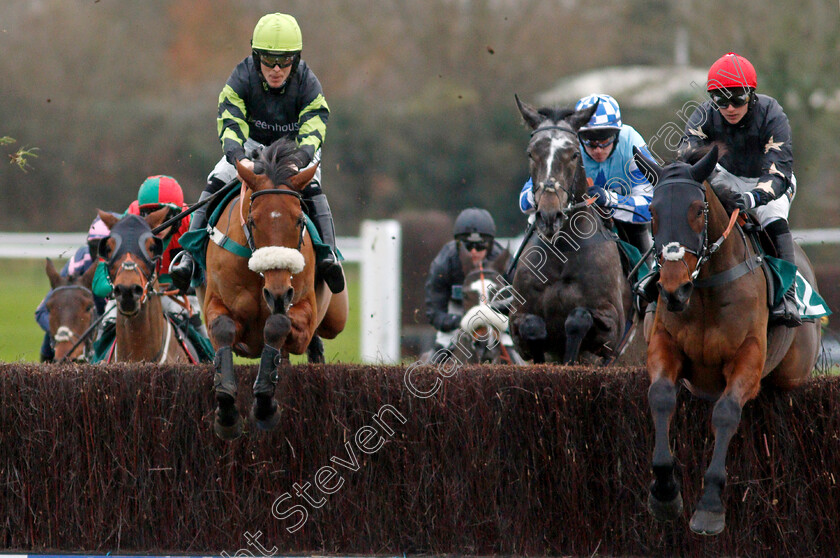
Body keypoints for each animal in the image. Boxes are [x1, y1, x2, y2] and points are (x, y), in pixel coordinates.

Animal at [203, 139, 348, 442]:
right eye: (253, 220)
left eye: (300, 220)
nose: (278, 293)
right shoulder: (215, 302)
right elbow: (223, 329)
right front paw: (226, 411)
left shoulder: (302, 310)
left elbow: (277, 325)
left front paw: (265, 405)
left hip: (336, 317)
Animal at [506, 96, 632, 366]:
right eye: (531, 153)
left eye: (574, 154)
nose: (549, 216)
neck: (562, 252)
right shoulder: (516, 322)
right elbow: (533, 326)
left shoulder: (611, 325)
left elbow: (578, 318)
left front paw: (570, 358)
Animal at [636, 145, 820, 540]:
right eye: (653, 212)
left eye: (698, 209)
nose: (673, 290)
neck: (705, 289)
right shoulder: (664, 343)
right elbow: (660, 397)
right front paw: (664, 493)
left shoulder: (748, 357)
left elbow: (725, 413)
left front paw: (709, 508)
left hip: (793, 373)